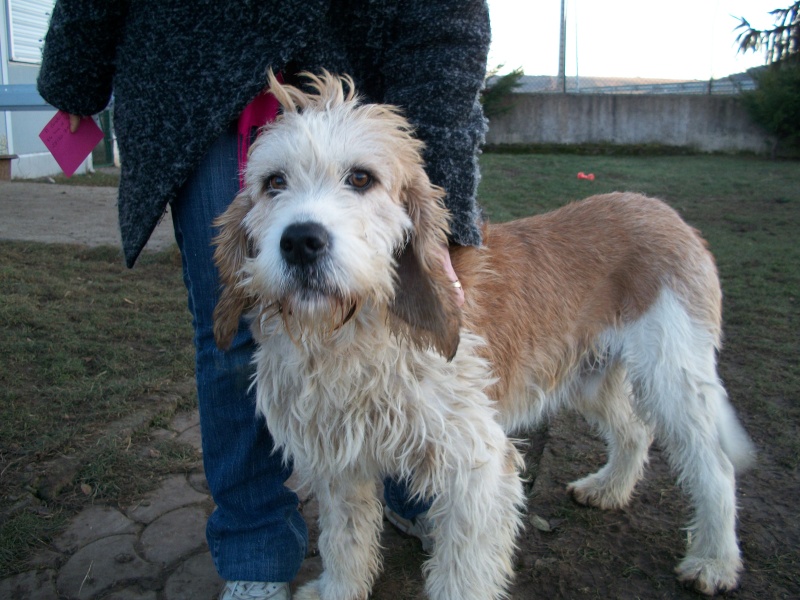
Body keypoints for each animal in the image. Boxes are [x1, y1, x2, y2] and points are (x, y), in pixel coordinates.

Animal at [211, 72, 752, 596]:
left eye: (361, 178)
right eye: (274, 182)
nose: (301, 241)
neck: (354, 334)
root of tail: (658, 207)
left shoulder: (478, 468)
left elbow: (462, 575)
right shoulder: (340, 463)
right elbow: (345, 544)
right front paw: (338, 591)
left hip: (674, 375)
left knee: (714, 465)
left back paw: (714, 561)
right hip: (589, 374)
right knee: (635, 430)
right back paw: (609, 489)